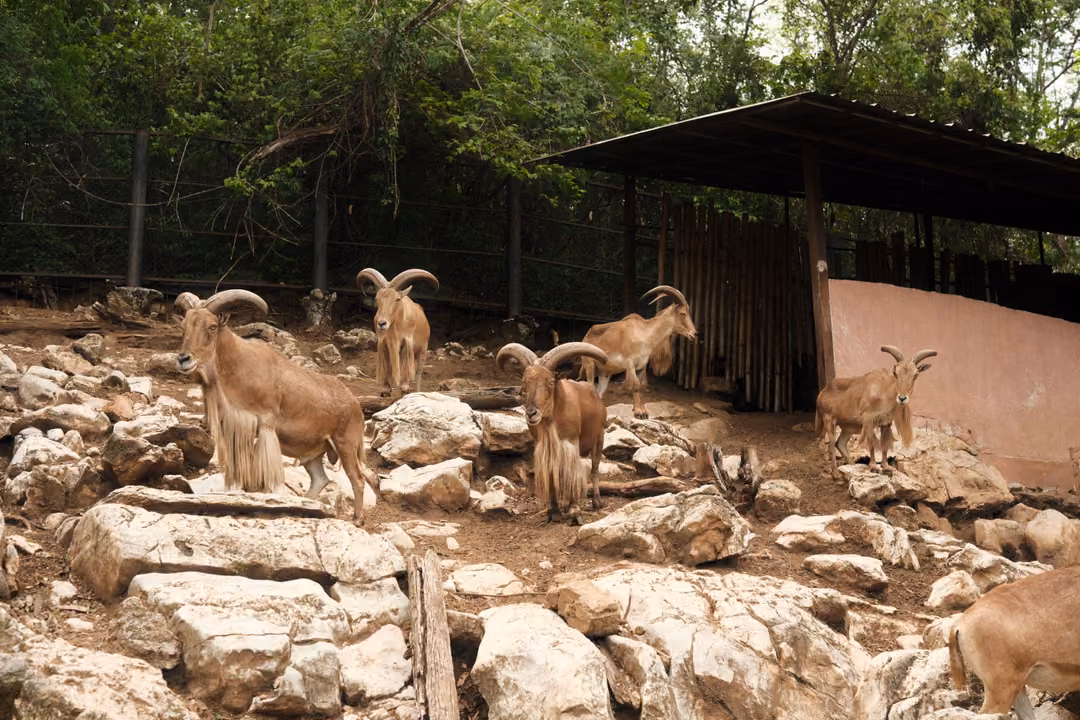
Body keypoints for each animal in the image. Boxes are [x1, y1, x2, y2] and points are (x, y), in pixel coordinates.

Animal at [174, 289, 378, 523]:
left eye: (212, 326)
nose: (183, 359)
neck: (239, 364)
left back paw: (358, 518)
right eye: (184, 326)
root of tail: (355, 405)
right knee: (320, 479)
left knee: (357, 479)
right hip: (314, 454)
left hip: (346, 444)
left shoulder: (265, 425)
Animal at [356, 268, 439, 398]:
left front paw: (404, 387)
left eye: (397, 299)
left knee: (418, 373)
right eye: (377, 298)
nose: (382, 323)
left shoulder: (406, 342)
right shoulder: (385, 343)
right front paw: (386, 389)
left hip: (423, 349)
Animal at [496, 341, 608, 524]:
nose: (531, 413)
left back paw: (596, 502)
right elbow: (552, 477)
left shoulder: (571, 444)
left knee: (594, 470)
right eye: (524, 382)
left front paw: (575, 511)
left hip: (599, 439)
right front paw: (554, 512)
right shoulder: (546, 450)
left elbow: (573, 475)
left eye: (550, 382)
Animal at [578, 285, 697, 419]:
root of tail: (586, 336)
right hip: (590, 366)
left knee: (599, 392)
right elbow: (635, 385)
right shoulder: (630, 364)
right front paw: (639, 412)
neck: (645, 334)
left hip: (605, 373)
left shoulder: (641, 366)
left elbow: (642, 385)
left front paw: (642, 410)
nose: (694, 334)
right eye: (682, 313)